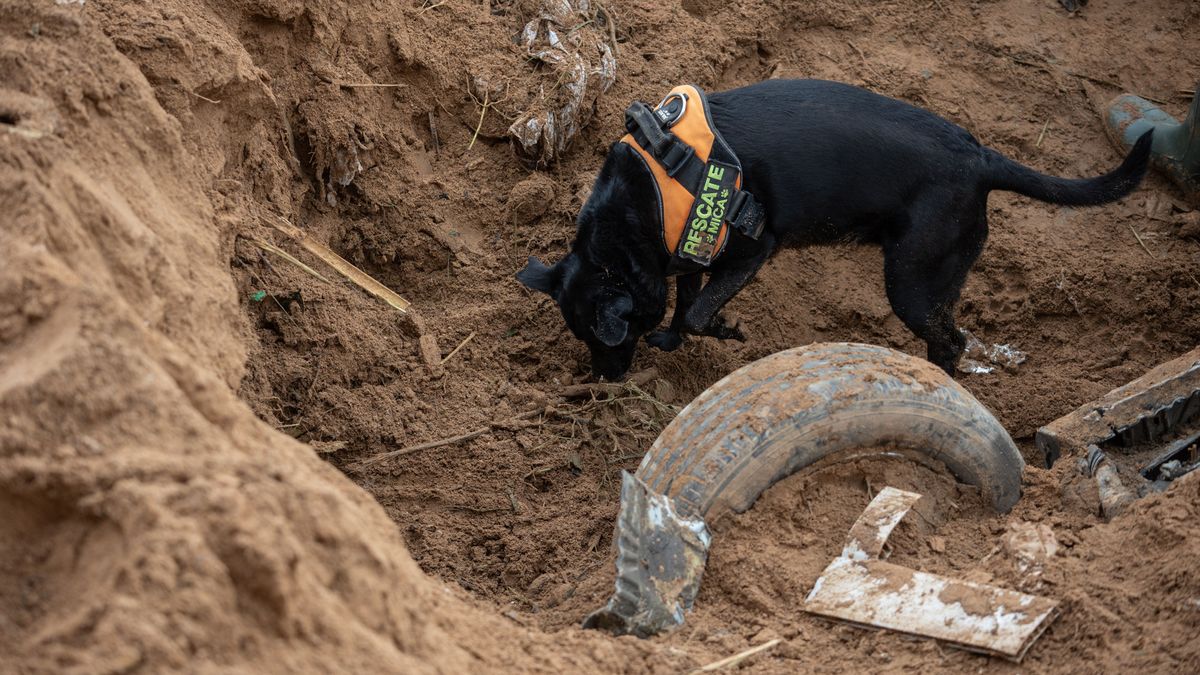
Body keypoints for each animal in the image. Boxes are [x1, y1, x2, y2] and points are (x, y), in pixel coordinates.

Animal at [518, 78, 1152, 379]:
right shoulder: (694, 246)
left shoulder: (755, 246)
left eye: (605, 339)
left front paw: (725, 330)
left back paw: (937, 376)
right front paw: (677, 337)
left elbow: (698, 310)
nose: (604, 380)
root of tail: (980, 159)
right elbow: (686, 302)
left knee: (952, 340)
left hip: (912, 283)